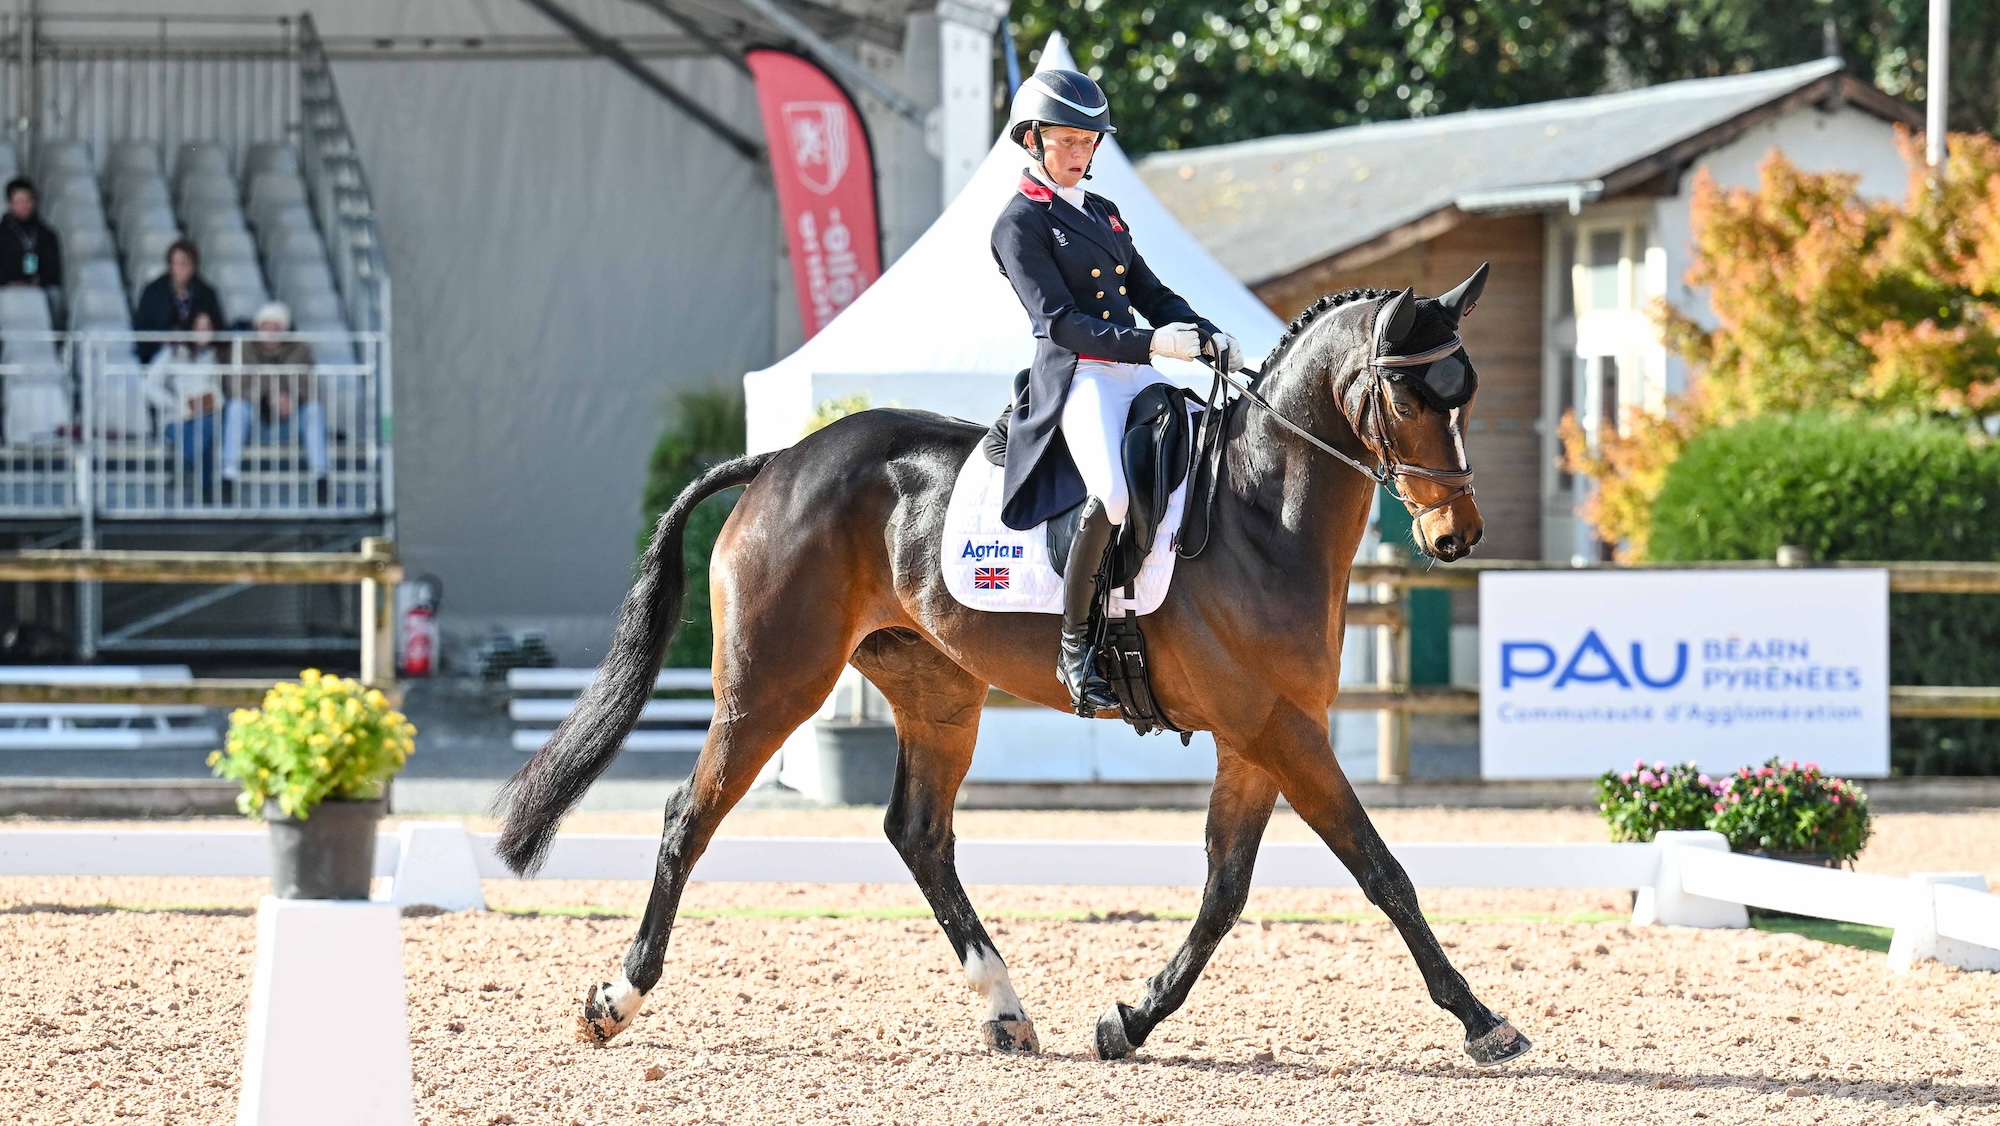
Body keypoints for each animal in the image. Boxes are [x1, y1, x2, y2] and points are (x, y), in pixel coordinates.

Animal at [496, 267, 1533, 1068]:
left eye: (1469, 392)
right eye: (1409, 398)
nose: (1457, 537)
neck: (1255, 511)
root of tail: (782, 458)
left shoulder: (1260, 735)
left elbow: (1224, 892)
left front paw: (1128, 1021)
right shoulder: (1279, 729)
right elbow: (1381, 871)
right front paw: (1484, 1023)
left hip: (939, 692)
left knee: (918, 833)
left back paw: (1005, 1011)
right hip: (770, 688)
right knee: (690, 817)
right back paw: (614, 1001)